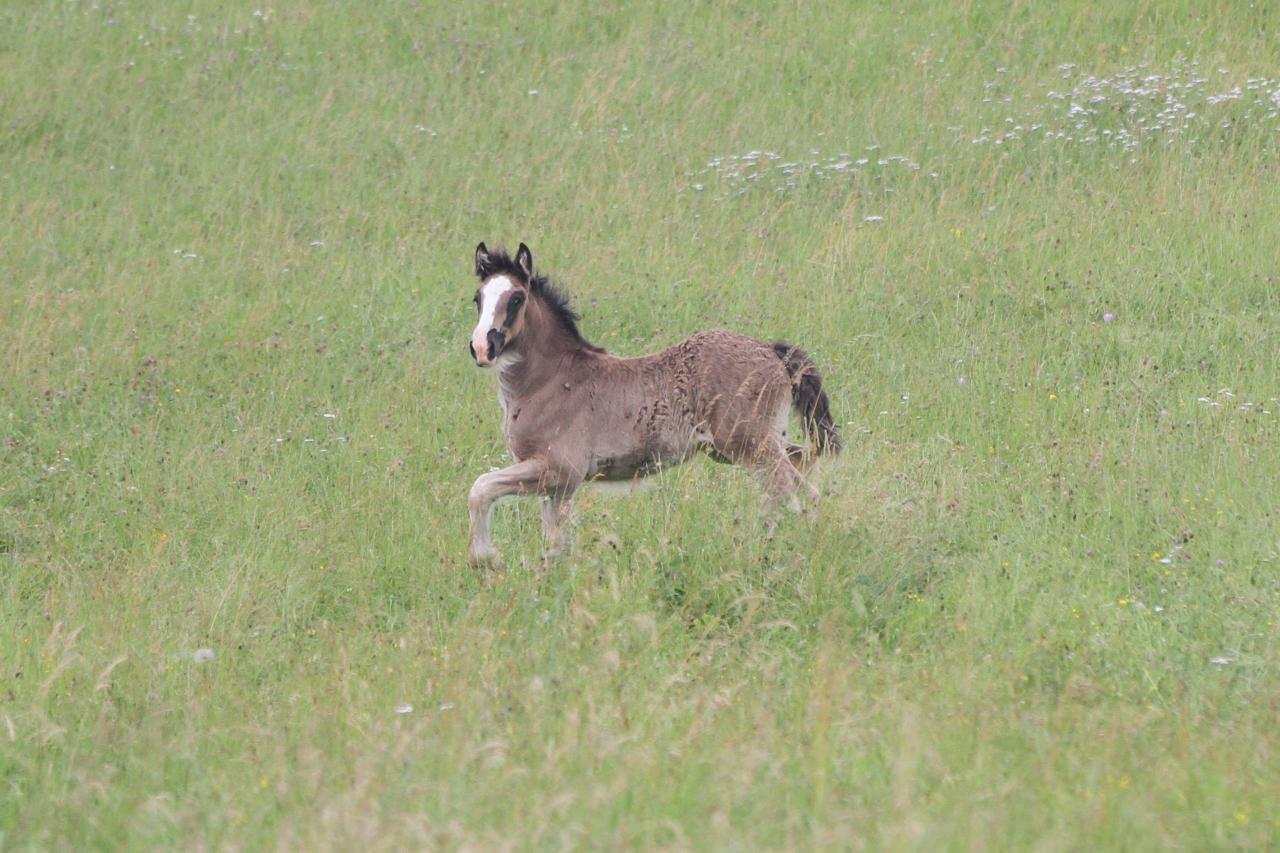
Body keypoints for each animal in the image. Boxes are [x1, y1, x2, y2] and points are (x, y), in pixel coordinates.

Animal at [468, 242, 839, 568]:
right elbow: (556, 539)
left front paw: (485, 558)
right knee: (799, 472)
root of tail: (770, 350)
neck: (549, 380)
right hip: (751, 446)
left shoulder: (557, 469)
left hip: (750, 446)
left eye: (516, 298)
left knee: (793, 490)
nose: (482, 347)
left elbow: (480, 488)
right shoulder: (558, 486)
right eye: (478, 298)